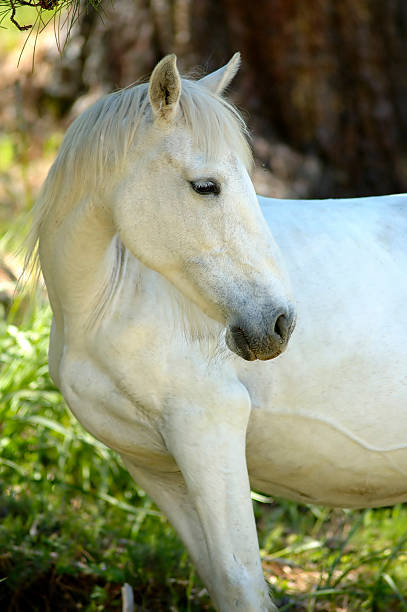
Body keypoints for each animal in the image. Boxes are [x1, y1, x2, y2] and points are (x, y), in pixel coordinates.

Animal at [25, 53, 407, 612]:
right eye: (206, 186)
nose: (279, 324)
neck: (102, 306)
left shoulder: (208, 428)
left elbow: (239, 579)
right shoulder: (154, 465)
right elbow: (220, 579)